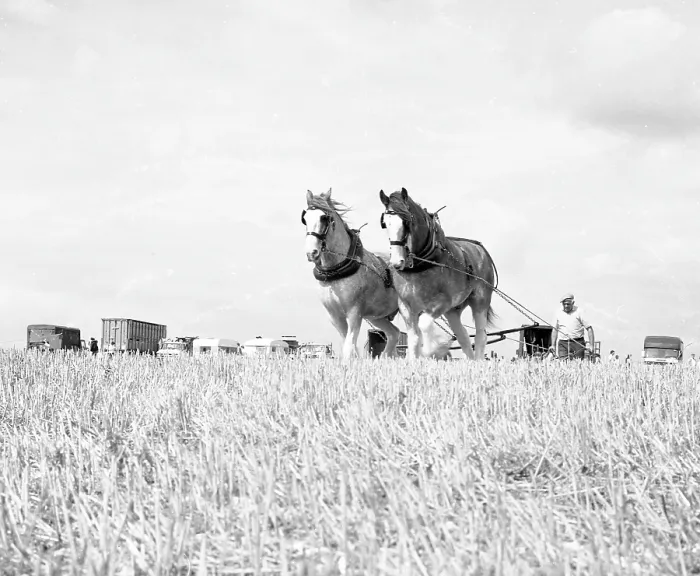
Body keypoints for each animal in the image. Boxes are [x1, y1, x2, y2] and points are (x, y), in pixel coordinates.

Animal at [302, 188, 404, 360]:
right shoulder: (334, 315)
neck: (335, 272)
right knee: (394, 334)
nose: (311, 252)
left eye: (324, 218)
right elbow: (348, 344)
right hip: (377, 316)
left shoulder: (354, 312)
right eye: (304, 219)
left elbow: (349, 347)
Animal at [378, 187, 498, 361]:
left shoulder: (441, 302)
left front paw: (430, 351)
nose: (396, 262)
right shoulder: (406, 305)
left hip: (480, 300)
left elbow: (424, 325)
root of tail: (480, 249)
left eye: (406, 222)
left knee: (480, 336)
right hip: (453, 310)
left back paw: (478, 360)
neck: (421, 263)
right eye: (385, 224)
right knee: (463, 336)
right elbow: (414, 338)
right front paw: (413, 359)